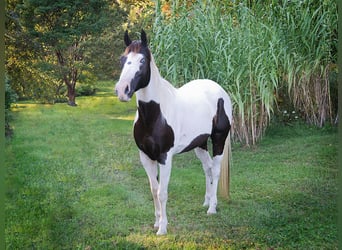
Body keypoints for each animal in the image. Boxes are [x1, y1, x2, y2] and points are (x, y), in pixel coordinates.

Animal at [115, 30, 232, 235]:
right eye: (123, 59)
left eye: (142, 60)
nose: (122, 91)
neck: (155, 115)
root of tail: (220, 91)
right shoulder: (145, 156)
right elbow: (153, 190)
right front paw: (156, 222)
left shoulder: (164, 157)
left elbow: (162, 192)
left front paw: (162, 228)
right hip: (199, 144)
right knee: (207, 168)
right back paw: (206, 201)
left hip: (219, 139)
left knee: (216, 170)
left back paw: (212, 208)